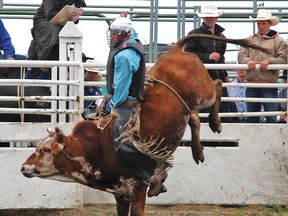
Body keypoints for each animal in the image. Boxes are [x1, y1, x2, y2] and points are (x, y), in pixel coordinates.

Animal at [20, 34, 268, 216]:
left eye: (45, 149)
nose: (23, 167)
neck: (96, 145)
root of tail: (177, 50)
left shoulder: (137, 189)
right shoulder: (120, 194)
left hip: (202, 92)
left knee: (216, 85)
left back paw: (215, 122)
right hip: (186, 106)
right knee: (194, 118)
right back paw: (198, 151)